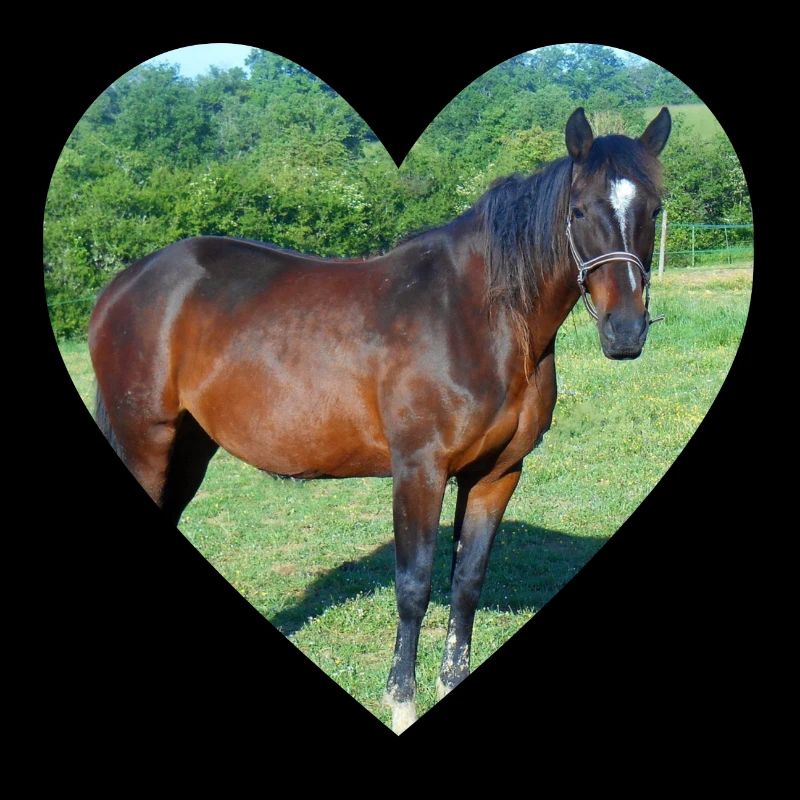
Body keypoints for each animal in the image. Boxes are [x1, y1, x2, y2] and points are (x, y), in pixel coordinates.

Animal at [89, 106, 671, 733]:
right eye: (579, 210)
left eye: (653, 209)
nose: (625, 332)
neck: (476, 316)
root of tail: (123, 285)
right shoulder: (419, 470)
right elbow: (414, 585)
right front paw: (401, 704)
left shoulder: (497, 475)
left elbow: (466, 583)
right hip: (146, 442)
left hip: (189, 448)